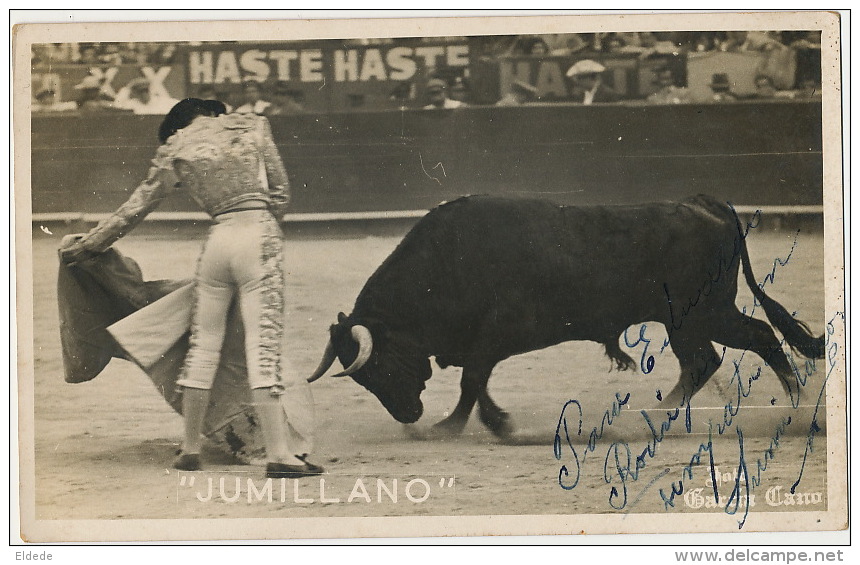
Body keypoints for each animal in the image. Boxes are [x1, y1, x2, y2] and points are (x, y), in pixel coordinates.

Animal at [310, 194, 828, 436]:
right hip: (692, 320)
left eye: (379, 366)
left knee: (746, 343)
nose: (408, 416)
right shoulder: (487, 341)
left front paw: (451, 427)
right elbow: (477, 382)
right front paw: (496, 422)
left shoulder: (496, 334)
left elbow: (472, 380)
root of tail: (705, 205)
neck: (447, 263)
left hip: (702, 315)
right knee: (715, 357)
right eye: (363, 379)